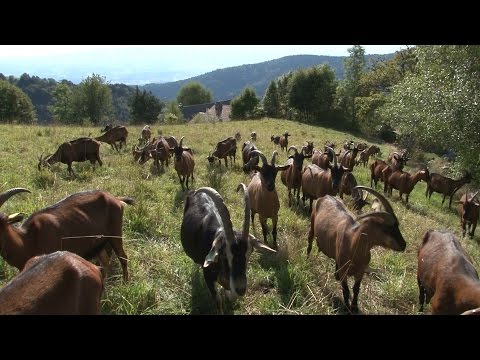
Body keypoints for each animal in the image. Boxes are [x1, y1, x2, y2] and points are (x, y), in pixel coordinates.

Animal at [0, 187, 133, 282]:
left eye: (3, 222)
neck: (28, 239)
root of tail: (115, 199)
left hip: (115, 233)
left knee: (123, 257)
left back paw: (125, 283)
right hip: (99, 243)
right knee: (105, 262)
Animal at [182, 184, 276, 314]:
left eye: (249, 253)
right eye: (224, 254)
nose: (241, 289)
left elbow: (229, 293)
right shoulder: (208, 275)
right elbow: (218, 300)